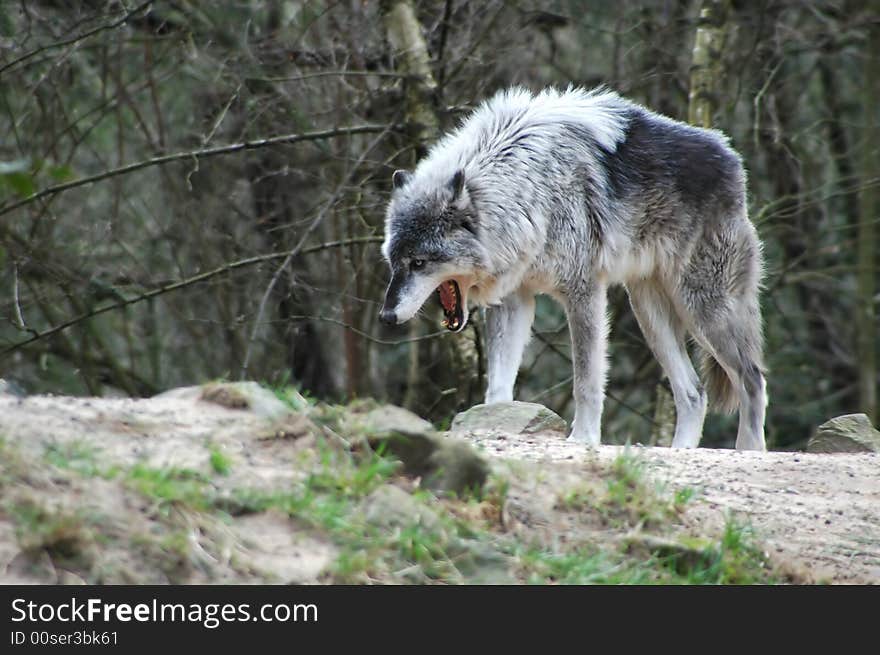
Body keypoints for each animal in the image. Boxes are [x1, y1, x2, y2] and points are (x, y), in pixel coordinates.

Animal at [380, 86, 768, 452]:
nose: (386, 316)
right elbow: (498, 386)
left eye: (419, 263)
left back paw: (749, 450)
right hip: (649, 312)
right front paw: (494, 422)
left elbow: (586, 380)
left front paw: (584, 437)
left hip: (703, 309)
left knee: (752, 378)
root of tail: (732, 157)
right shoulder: (514, 300)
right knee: (694, 393)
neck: (530, 191)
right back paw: (680, 449)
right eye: (393, 262)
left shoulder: (584, 292)